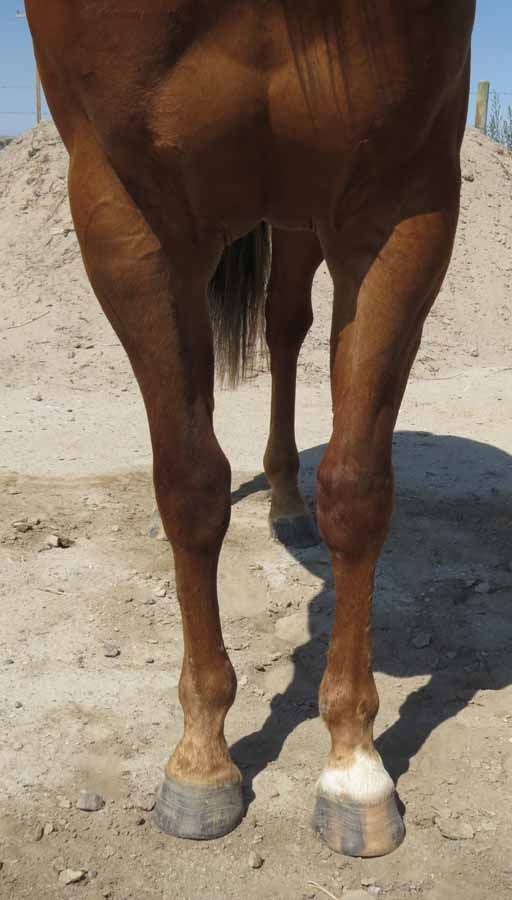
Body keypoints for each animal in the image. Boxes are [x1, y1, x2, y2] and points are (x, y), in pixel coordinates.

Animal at [26, 0, 476, 858]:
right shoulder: (126, 212)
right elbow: (190, 483)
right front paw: (203, 762)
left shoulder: (403, 204)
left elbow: (358, 487)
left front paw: (354, 767)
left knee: (285, 325)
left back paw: (287, 503)